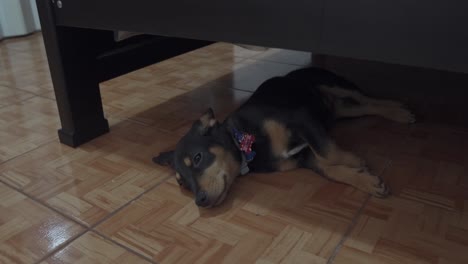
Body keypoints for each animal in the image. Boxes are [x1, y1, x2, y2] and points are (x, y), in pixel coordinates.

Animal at [153, 67, 414, 208]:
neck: (246, 141)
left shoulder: (301, 119)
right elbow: (329, 169)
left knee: (368, 98)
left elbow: (328, 152)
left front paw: (354, 161)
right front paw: (366, 180)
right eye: (181, 183)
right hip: (340, 110)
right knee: (365, 107)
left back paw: (400, 110)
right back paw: (397, 112)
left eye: (197, 158)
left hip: (334, 84)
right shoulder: (303, 158)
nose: (200, 201)